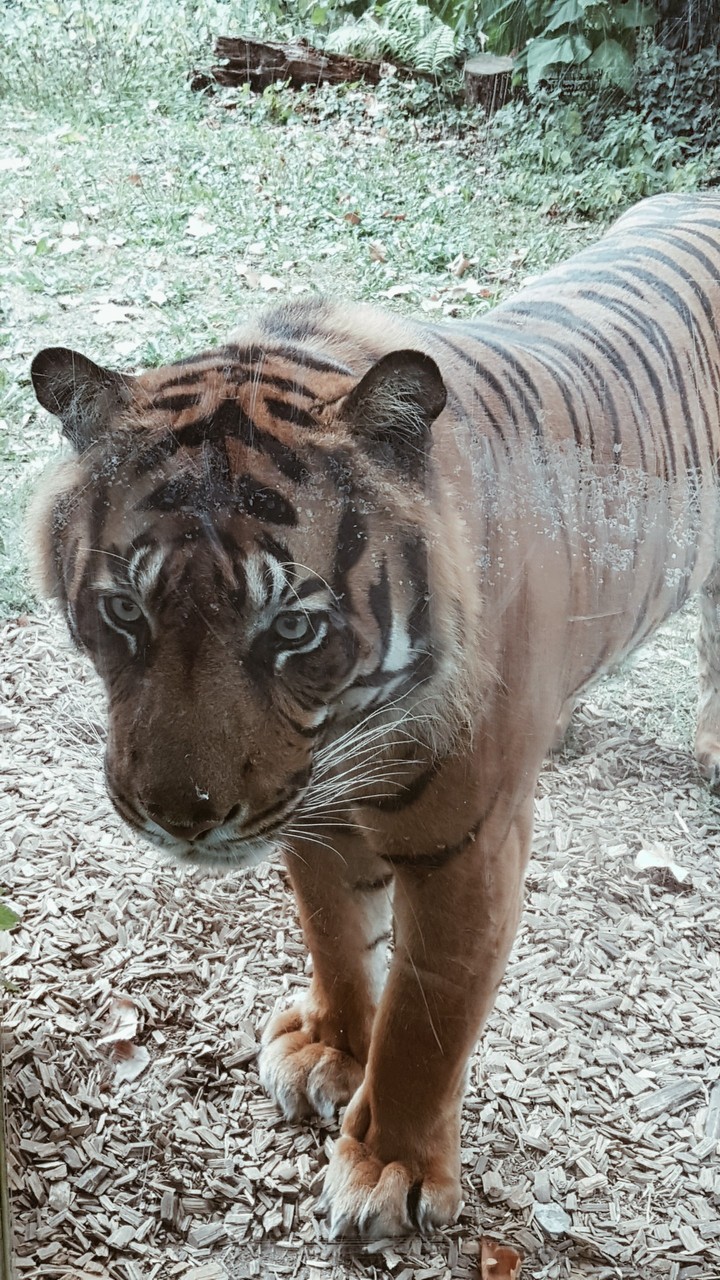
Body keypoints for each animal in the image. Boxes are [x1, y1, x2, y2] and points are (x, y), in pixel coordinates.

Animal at [28, 191, 720, 1241]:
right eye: (123, 612)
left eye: (294, 627)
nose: (181, 818)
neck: (353, 723)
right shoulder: (308, 814)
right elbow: (339, 941)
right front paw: (329, 1049)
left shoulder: (468, 849)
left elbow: (426, 1021)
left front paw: (389, 1165)